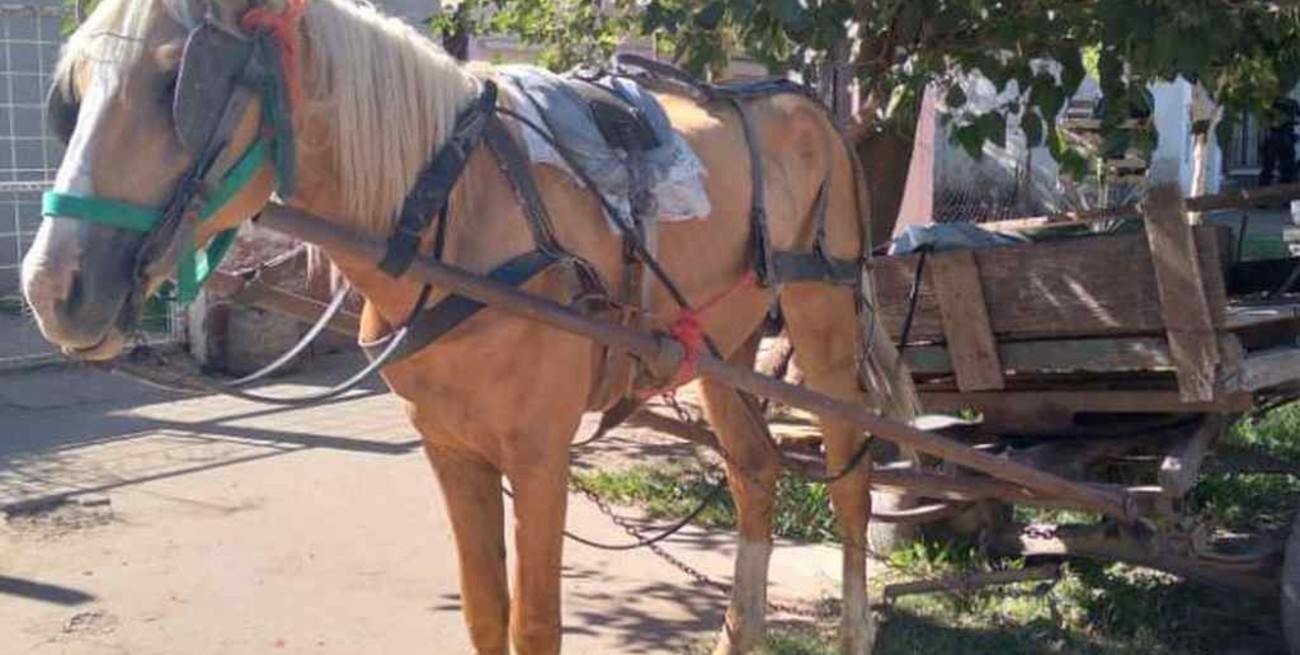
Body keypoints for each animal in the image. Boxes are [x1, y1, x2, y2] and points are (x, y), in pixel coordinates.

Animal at [19, 0, 918, 652]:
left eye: (178, 79)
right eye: (75, 92)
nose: (50, 286)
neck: (451, 208)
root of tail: (807, 103)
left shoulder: (541, 453)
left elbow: (535, 622)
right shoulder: (452, 449)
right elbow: (488, 613)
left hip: (825, 321)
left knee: (851, 482)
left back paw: (853, 629)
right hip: (724, 345)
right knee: (755, 470)